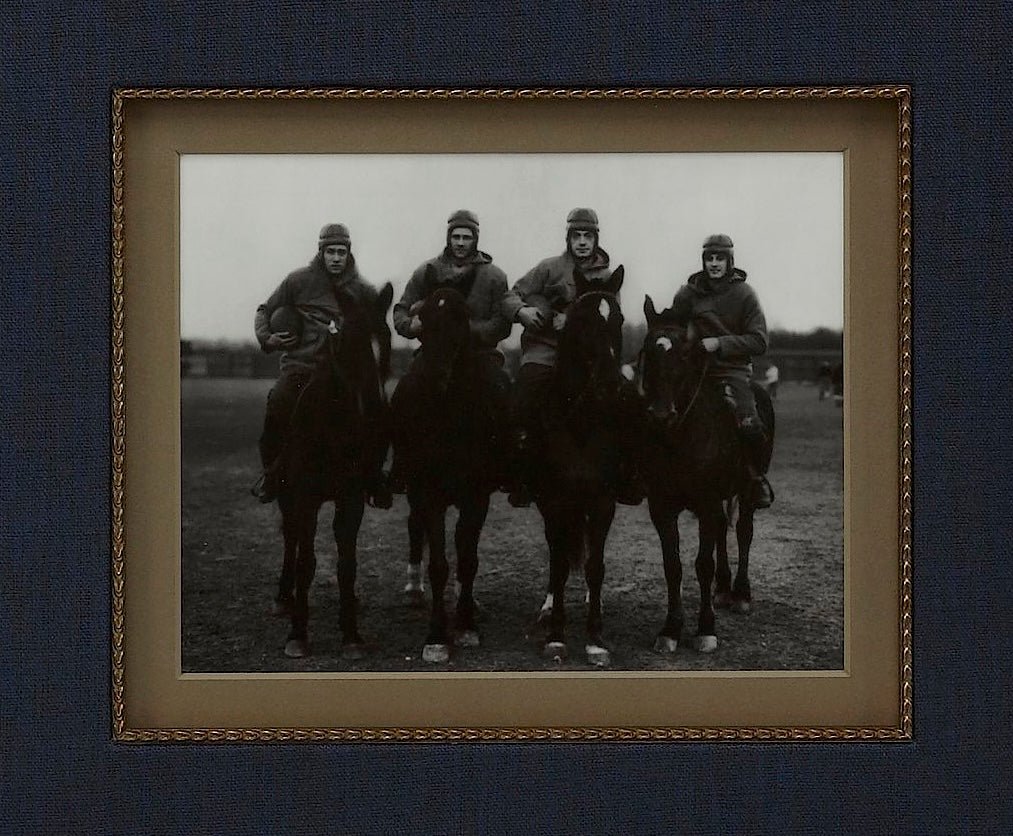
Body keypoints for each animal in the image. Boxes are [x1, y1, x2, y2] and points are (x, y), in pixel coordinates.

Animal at [275, 281, 393, 660]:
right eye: (347, 342)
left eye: (386, 338)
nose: (376, 410)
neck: (335, 427)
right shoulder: (304, 498)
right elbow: (305, 561)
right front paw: (297, 634)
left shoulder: (351, 498)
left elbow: (347, 563)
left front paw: (351, 633)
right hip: (286, 497)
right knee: (291, 540)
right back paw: (284, 597)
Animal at [640, 295, 773, 656]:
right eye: (648, 351)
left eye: (684, 355)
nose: (660, 414)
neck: (681, 436)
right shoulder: (663, 508)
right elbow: (673, 566)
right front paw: (670, 630)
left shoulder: (706, 502)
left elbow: (702, 564)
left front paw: (705, 629)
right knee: (723, 533)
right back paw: (724, 588)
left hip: (744, 492)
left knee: (743, 531)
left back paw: (740, 593)